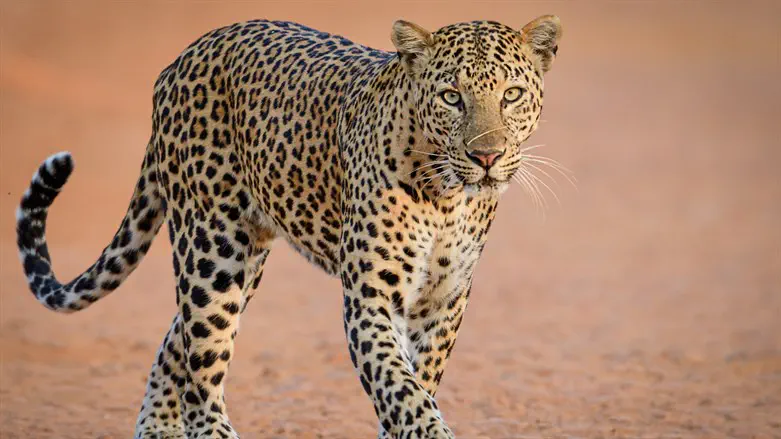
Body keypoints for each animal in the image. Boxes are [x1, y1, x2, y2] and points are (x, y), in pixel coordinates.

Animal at [15, 15, 563, 439]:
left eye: (512, 95)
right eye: (451, 97)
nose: (487, 156)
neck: (448, 199)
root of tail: (181, 59)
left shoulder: (443, 302)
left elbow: (417, 386)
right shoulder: (370, 299)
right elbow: (402, 391)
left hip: (244, 261)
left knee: (177, 342)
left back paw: (156, 428)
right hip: (211, 252)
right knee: (201, 371)